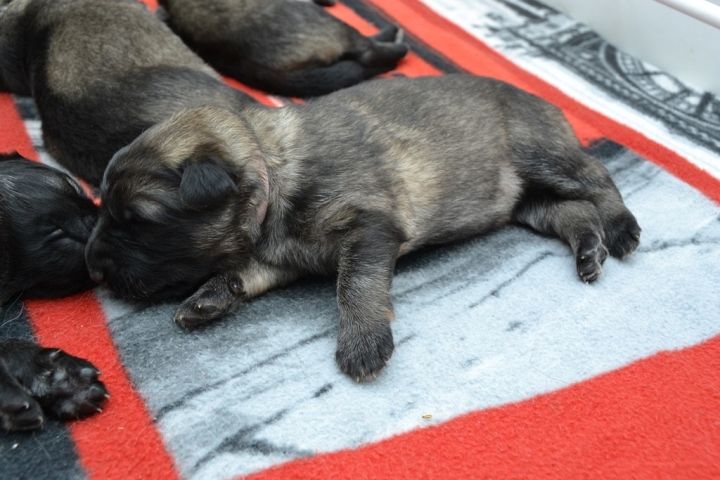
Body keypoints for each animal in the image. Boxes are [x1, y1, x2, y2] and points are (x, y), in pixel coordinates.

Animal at [85, 75, 641, 381]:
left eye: (138, 220)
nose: (92, 267)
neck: (273, 173)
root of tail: (546, 103)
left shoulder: (370, 227)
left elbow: (355, 284)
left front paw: (363, 341)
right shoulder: (279, 257)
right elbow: (244, 271)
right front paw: (209, 297)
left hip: (537, 151)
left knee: (597, 179)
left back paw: (619, 228)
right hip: (524, 198)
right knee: (571, 212)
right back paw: (589, 250)